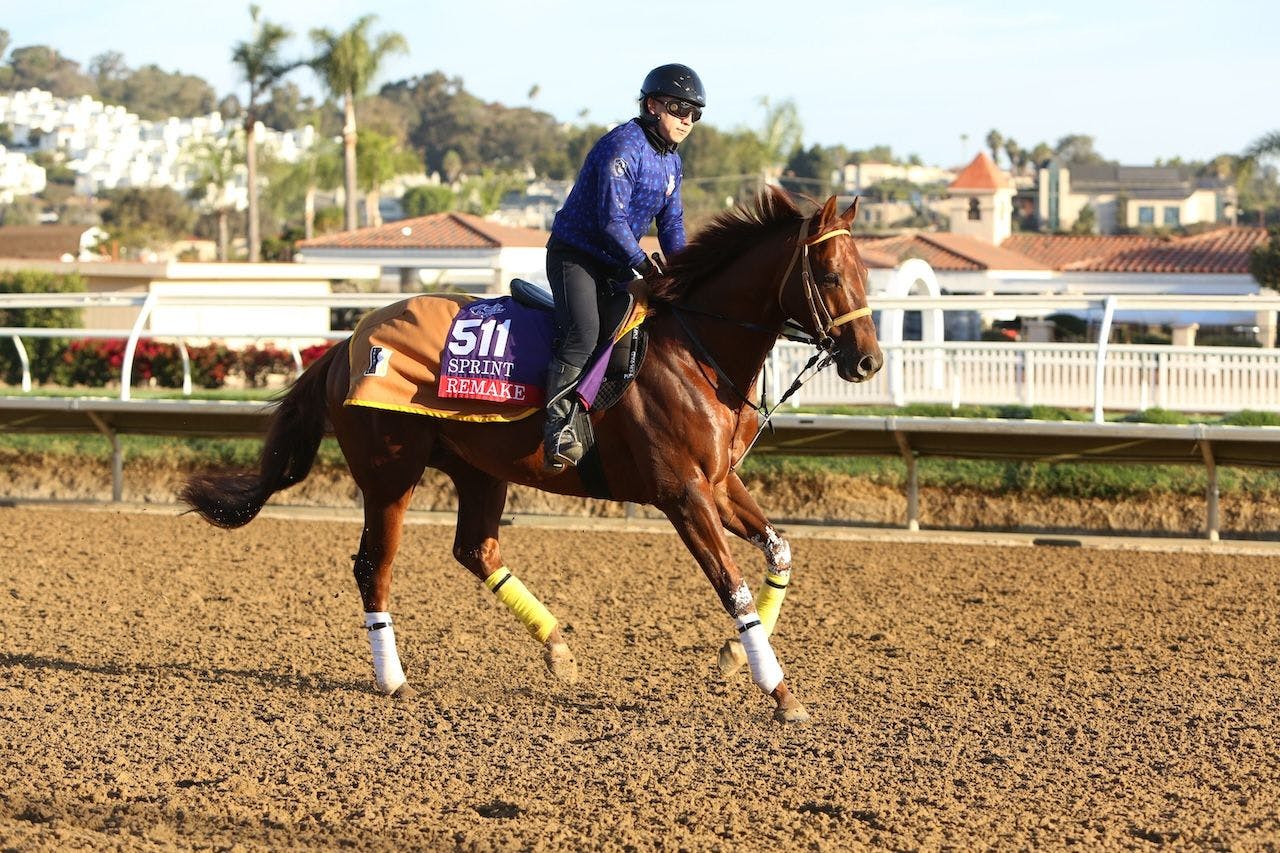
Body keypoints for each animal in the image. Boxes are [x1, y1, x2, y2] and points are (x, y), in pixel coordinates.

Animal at [180, 189, 880, 722]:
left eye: (865, 274)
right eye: (829, 275)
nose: (868, 361)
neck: (695, 351)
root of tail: (348, 344)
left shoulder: (719, 483)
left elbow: (780, 550)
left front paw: (738, 659)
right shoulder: (682, 494)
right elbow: (731, 587)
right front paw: (779, 690)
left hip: (477, 470)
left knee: (475, 550)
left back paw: (557, 648)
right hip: (389, 475)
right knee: (373, 566)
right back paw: (392, 678)